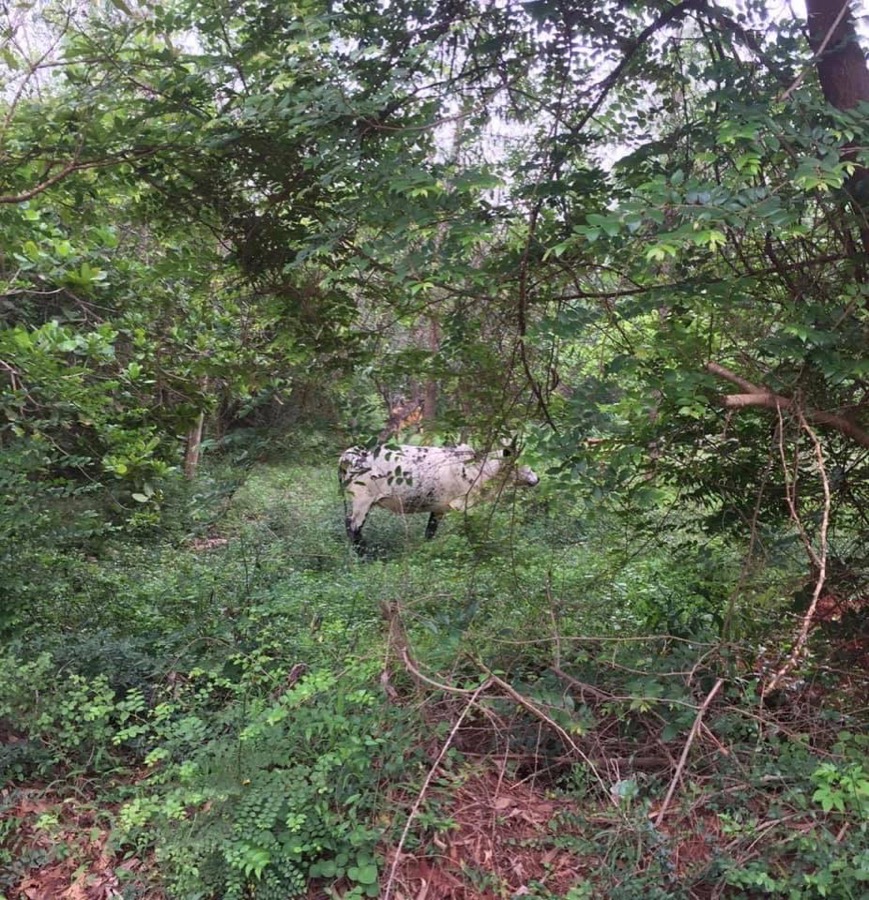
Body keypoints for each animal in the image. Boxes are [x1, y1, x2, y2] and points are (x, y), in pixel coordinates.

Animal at [339, 442, 540, 546]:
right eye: (517, 462)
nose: (536, 478)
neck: (476, 470)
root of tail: (351, 455)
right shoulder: (463, 506)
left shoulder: (439, 508)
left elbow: (430, 532)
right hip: (362, 501)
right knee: (352, 527)